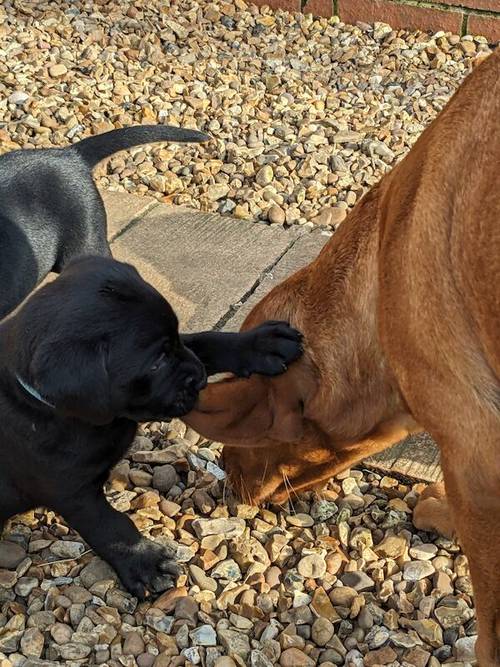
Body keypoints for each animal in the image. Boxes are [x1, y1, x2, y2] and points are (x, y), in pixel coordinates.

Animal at [0, 256, 300, 600]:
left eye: (171, 343)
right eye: (155, 362)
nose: (199, 379)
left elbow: (204, 341)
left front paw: (260, 345)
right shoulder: (70, 490)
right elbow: (110, 525)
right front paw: (145, 563)